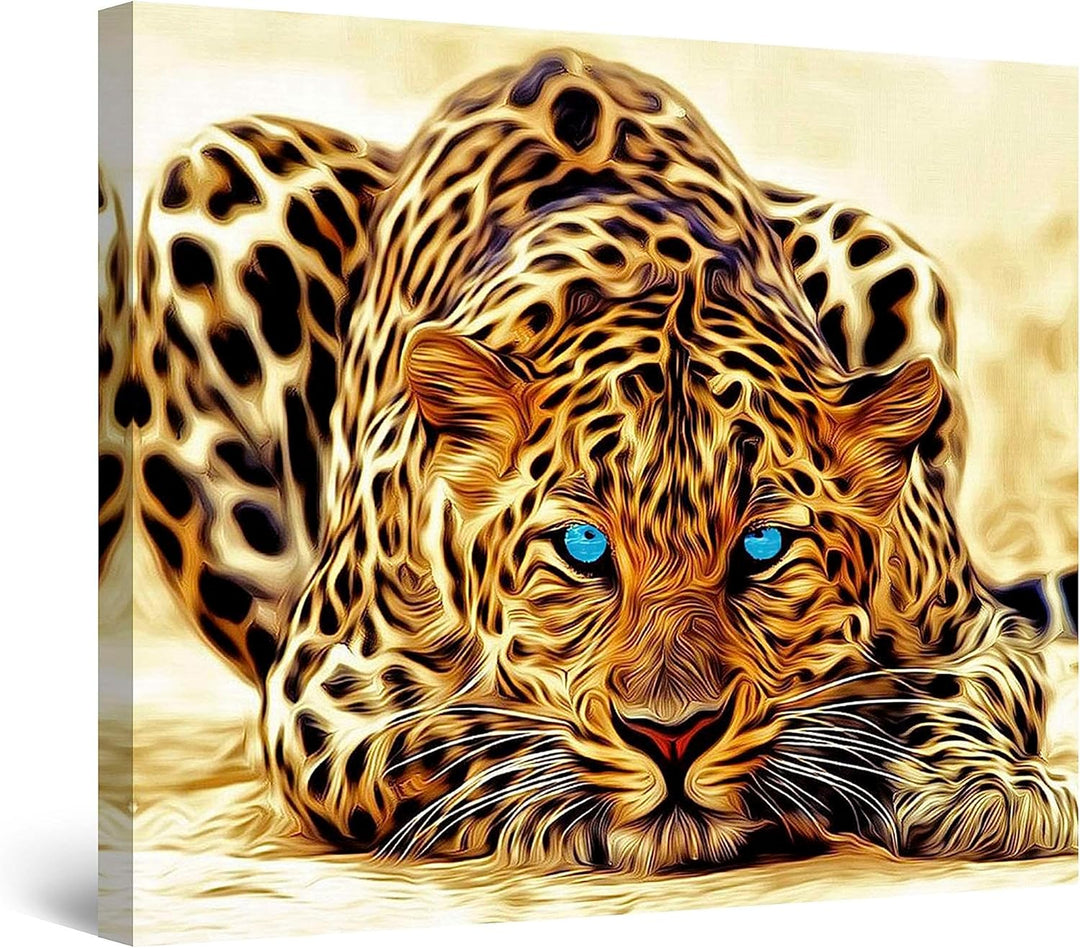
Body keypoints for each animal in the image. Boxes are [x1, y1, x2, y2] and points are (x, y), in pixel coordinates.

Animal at [99, 48, 1077, 873]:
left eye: (763, 550)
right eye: (583, 550)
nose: (674, 736)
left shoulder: (975, 630)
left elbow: (967, 690)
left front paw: (989, 790)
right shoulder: (323, 692)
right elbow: (450, 740)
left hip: (880, 245)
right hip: (212, 180)